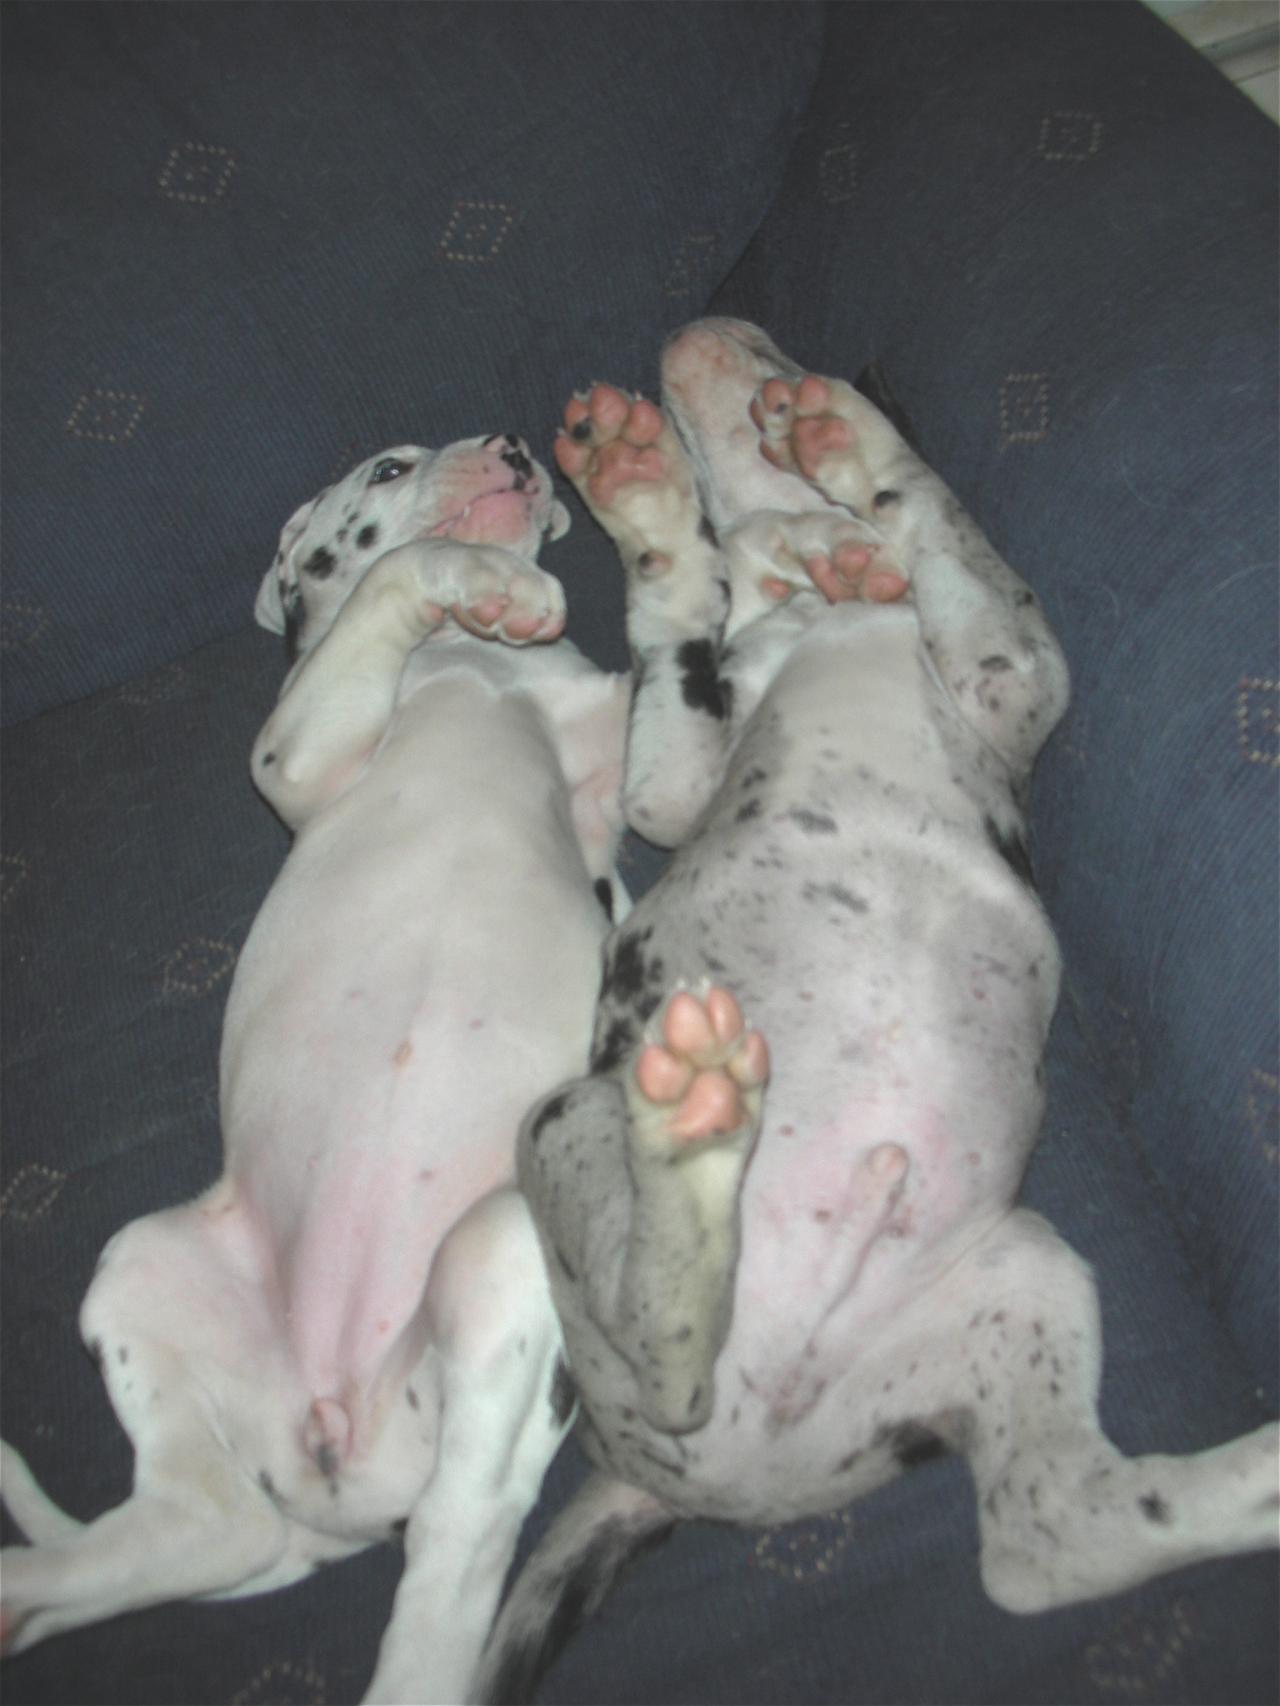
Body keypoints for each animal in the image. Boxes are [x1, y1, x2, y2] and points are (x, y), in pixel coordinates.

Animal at [0, 430, 629, 1704]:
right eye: (388, 465)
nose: (515, 445)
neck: (478, 669)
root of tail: (330, 1436)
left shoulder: (606, 761)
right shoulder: (301, 750)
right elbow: (390, 578)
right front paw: (489, 578)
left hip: (495, 1259)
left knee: (453, 1550)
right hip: (145, 1266)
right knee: (209, 1524)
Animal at [473, 320, 1280, 1700]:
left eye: (771, 340)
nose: (708, 326)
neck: (821, 614)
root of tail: (654, 1481)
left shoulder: (1004, 678)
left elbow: (924, 528)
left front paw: (830, 477)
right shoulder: (698, 779)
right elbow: (719, 604)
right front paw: (676, 490)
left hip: (1016, 1276)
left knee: (1049, 1539)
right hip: (565, 1122)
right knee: (672, 1338)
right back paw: (692, 1142)